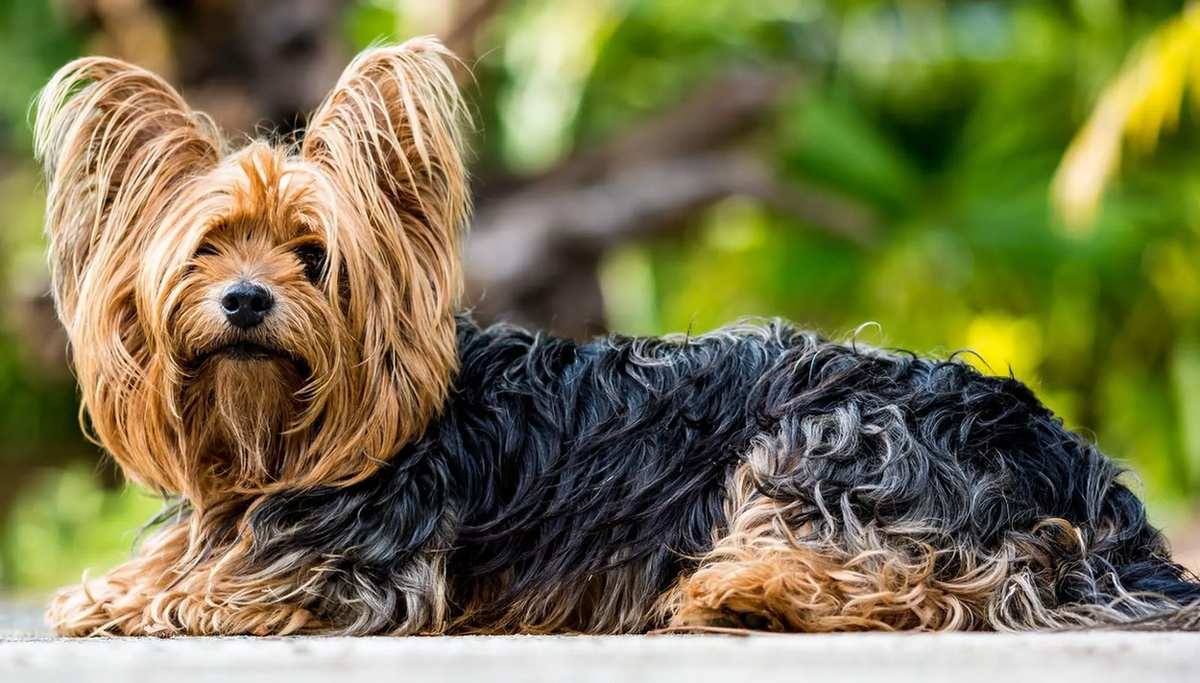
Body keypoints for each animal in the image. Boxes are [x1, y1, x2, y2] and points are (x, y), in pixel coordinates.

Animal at [30, 36, 1200, 633]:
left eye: (315, 258)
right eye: (206, 251)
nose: (244, 302)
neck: (276, 438)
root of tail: (1086, 475)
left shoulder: (365, 570)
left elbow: (218, 587)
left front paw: (144, 597)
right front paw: (114, 585)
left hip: (839, 435)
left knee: (946, 581)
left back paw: (748, 591)